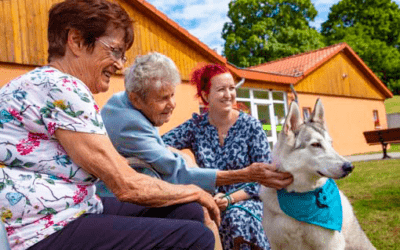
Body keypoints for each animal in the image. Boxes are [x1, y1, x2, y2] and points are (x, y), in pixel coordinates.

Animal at [260, 98, 376, 249]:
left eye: (331, 143)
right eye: (315, 144)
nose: (349, 167)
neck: (300, 195)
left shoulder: (331, 244)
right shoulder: (276, 244)